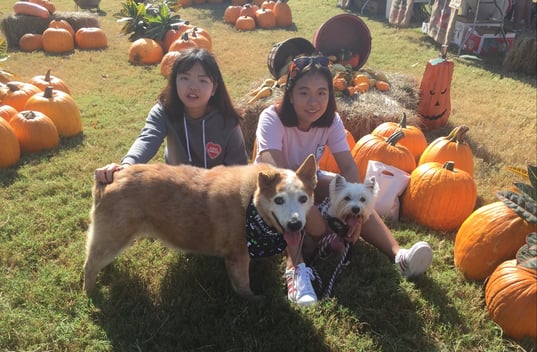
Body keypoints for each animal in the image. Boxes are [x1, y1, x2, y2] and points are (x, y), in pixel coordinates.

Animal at [82, 155, 316, 302]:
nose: (295, 224)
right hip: (112, 238)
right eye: (279, 200)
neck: (251, 202)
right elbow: (243, 284)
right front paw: (253, 299)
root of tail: (111, 179)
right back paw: (91, 293)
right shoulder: (238, 256)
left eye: (303, 198)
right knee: (89, 265)